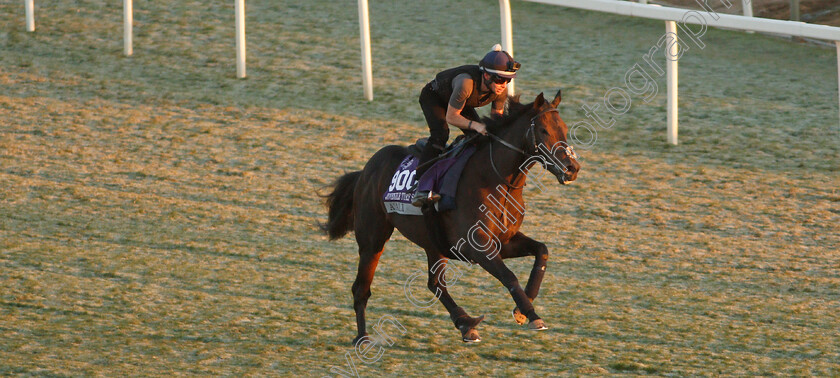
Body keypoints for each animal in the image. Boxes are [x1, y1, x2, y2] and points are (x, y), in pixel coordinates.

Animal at [324, 90, 580, 344]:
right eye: (544, 130)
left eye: (564, 128)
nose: (572, 168)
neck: (495, 179)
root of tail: (365, 171)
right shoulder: (475, 247)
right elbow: (509, 276)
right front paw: (531, 314)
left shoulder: (502, 241)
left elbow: (542, 251)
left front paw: (522, 310)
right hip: (373, 239)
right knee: (361, 288)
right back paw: (362, 337)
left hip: (432, 243)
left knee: (435, 283)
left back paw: (465, 323)